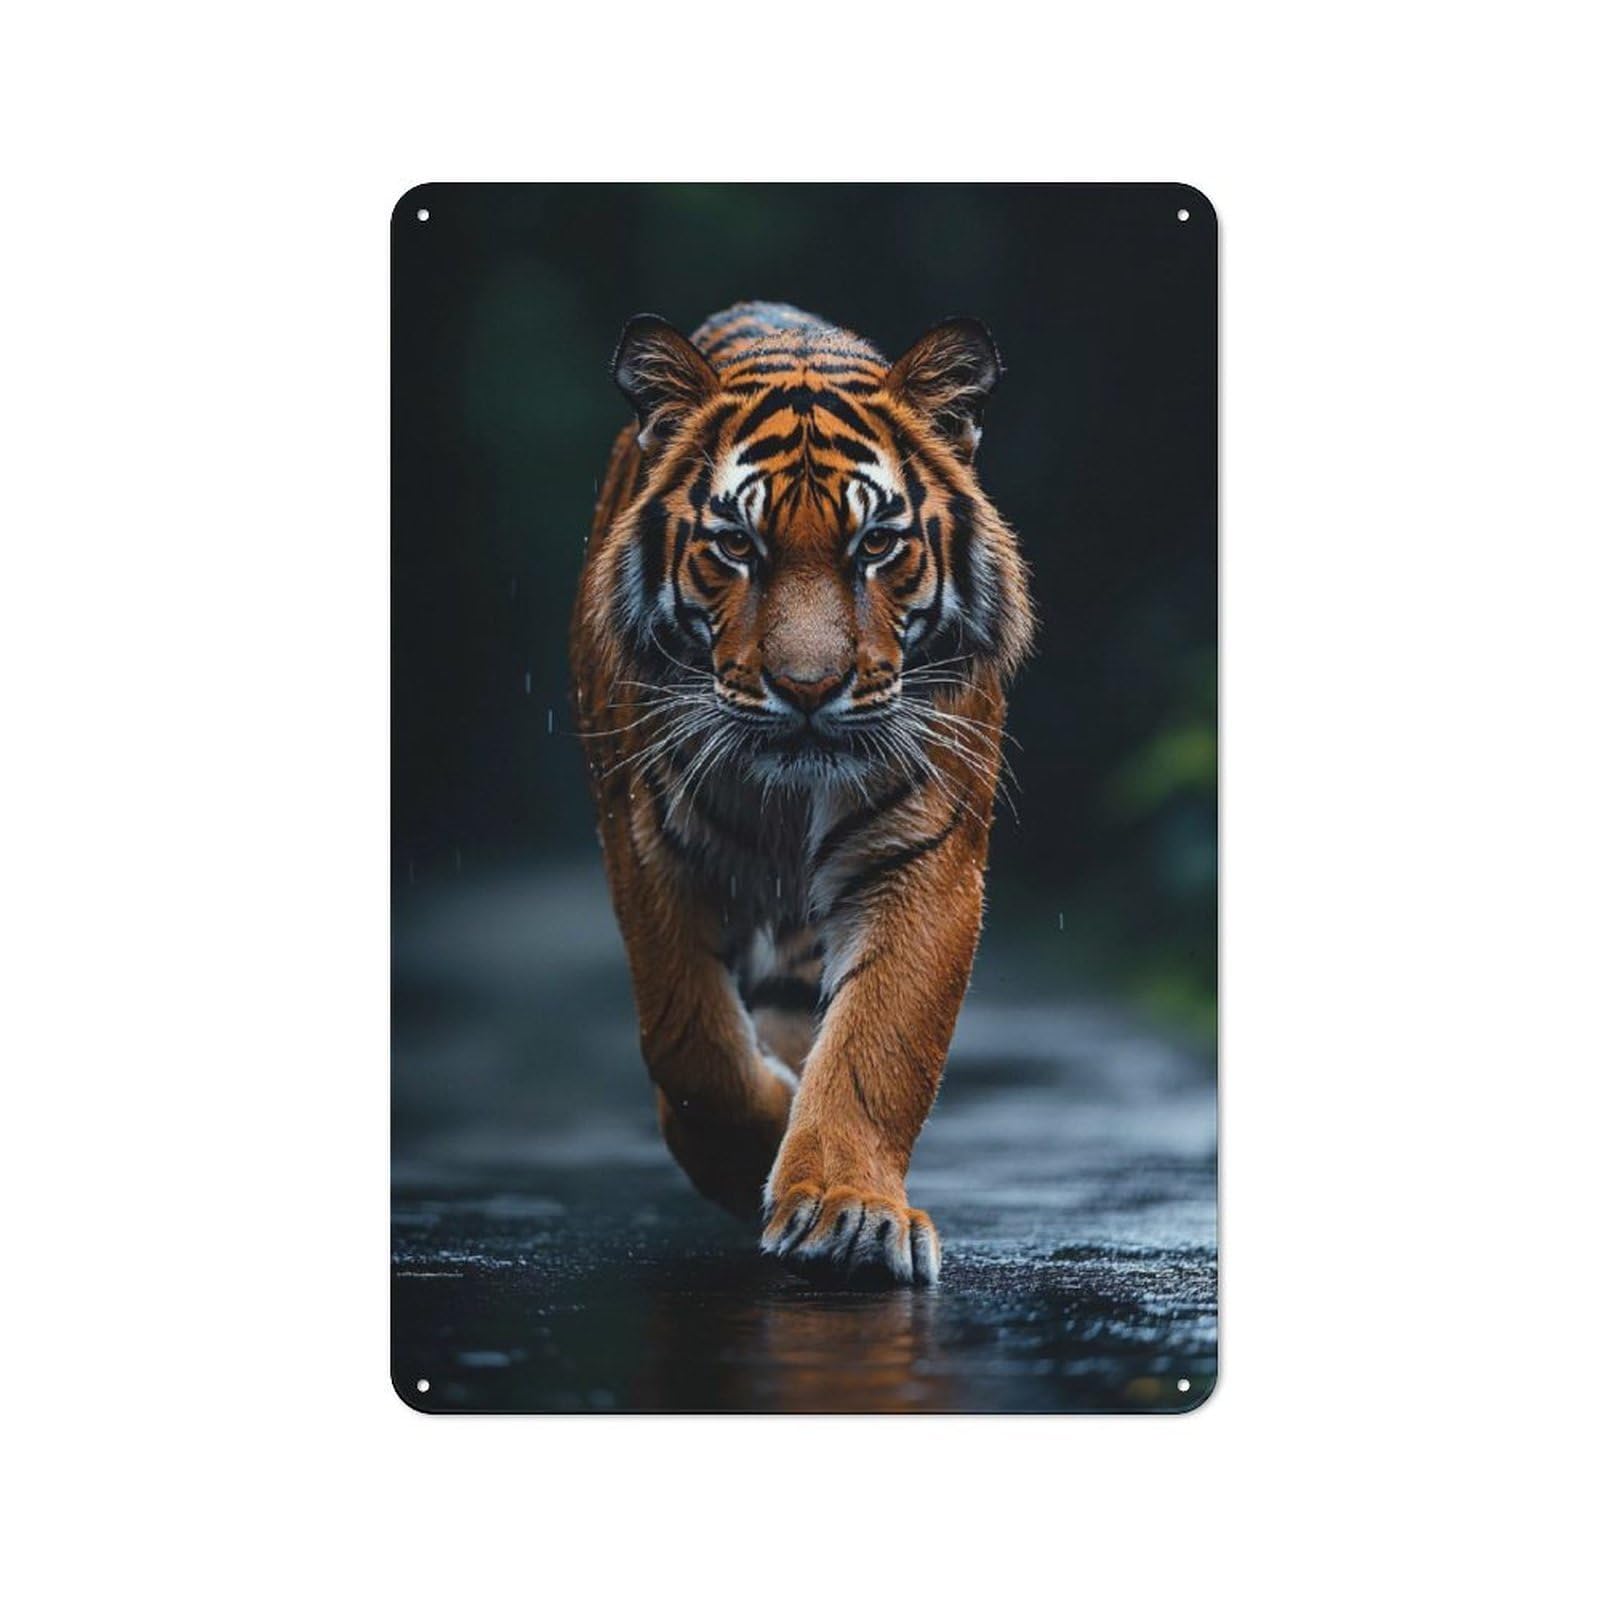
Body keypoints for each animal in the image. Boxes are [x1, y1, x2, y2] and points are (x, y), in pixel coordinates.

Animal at [570, 301, 1034, 1285]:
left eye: (876, 545)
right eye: (737, 546)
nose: (809, 688)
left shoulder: (924, 858)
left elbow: (879, 1043)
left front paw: (844, 1210)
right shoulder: (648, 846)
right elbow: (689, 1039)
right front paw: (754, 1150)